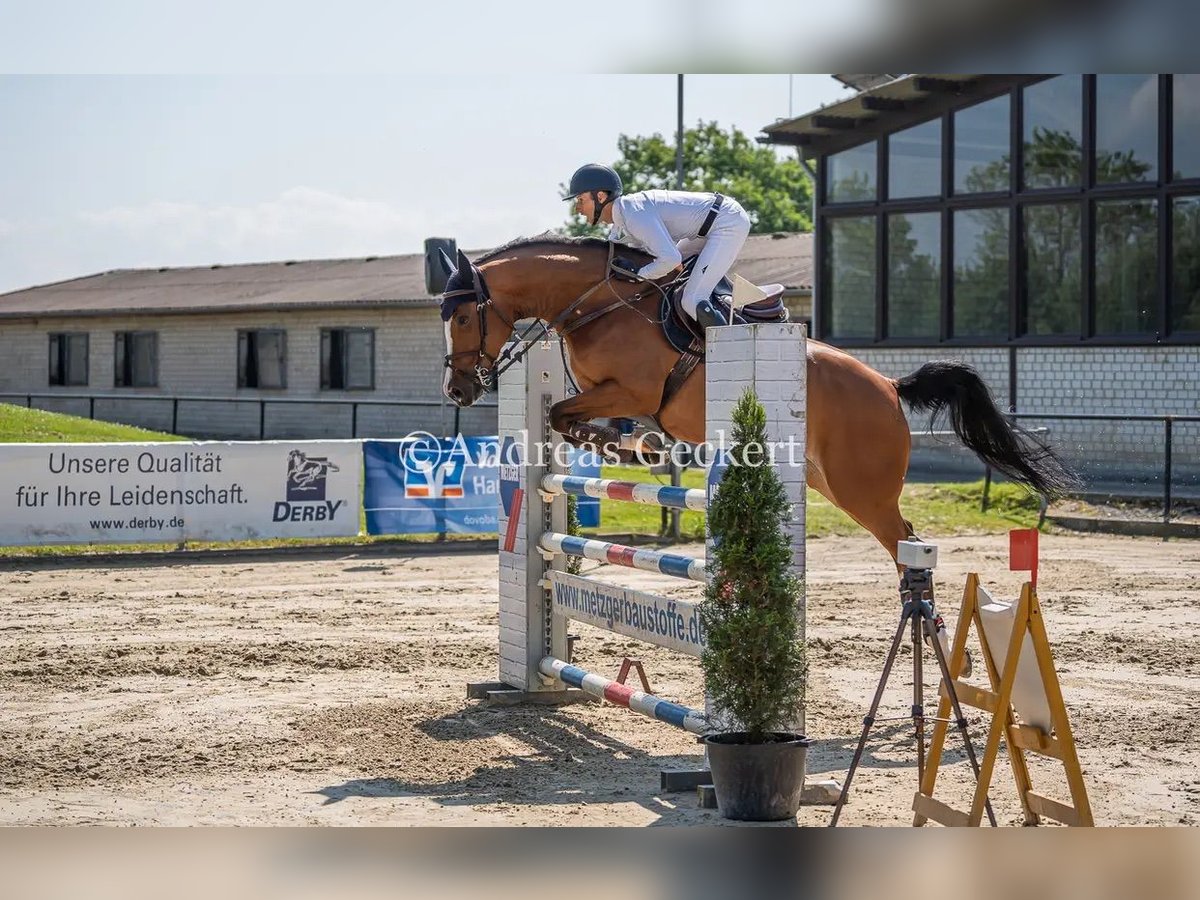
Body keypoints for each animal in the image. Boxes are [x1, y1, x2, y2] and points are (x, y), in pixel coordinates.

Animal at [439, 236, 1070, 566]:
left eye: (465, 317)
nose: (458, 390)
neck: (598, 303)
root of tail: (889, 388)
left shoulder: (633, 389)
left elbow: (565, 414)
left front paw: (639, 448)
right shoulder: (600, 392)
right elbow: (563, 416)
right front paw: (634, 446)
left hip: (862, 488)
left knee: (908, 544)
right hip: (826, 481)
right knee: (904, 539)